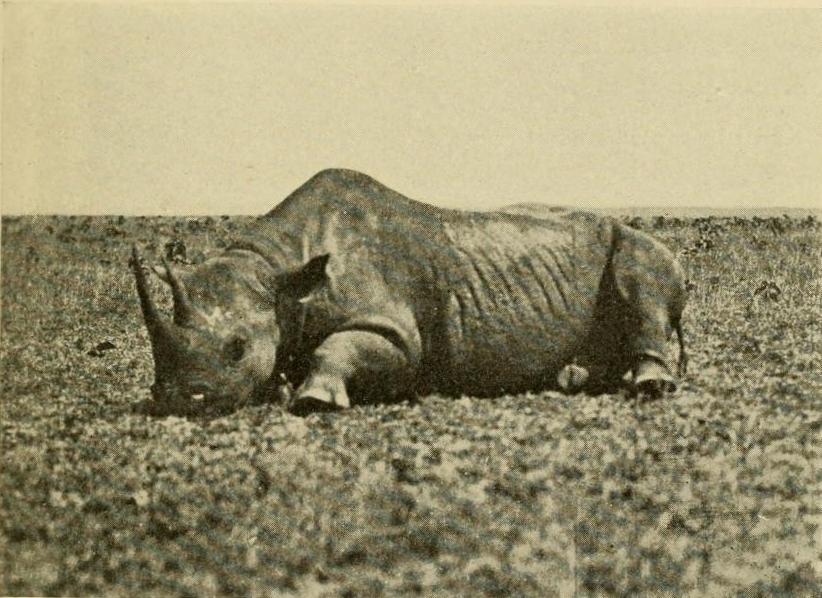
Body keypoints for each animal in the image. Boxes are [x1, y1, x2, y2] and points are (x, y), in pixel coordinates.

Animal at [131, 168, 687, 416]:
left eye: (237, 348)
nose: (178, 401)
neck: (281, 275)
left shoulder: (397, 332)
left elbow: (345, 347)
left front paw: (312, 398)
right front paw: (284, 385)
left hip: (637, 242)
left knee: (644, 273)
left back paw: (648, 387)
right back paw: (571, 378)